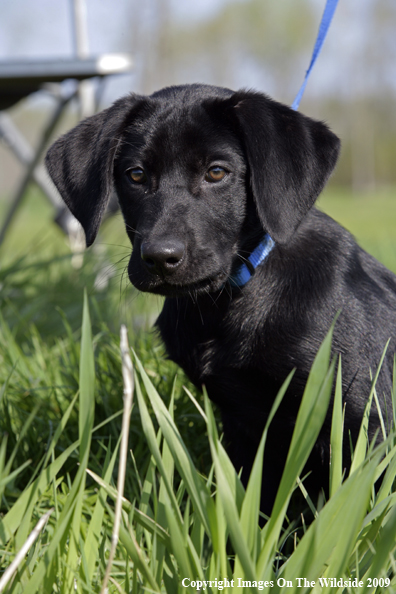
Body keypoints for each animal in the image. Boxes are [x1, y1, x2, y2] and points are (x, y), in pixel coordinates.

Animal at [45, 84, 396, 512]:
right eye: (136, 174)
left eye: (216, 172)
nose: (160, 257)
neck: (229, 297)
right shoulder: (243, 425)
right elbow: (254, 503)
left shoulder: (366, 420)